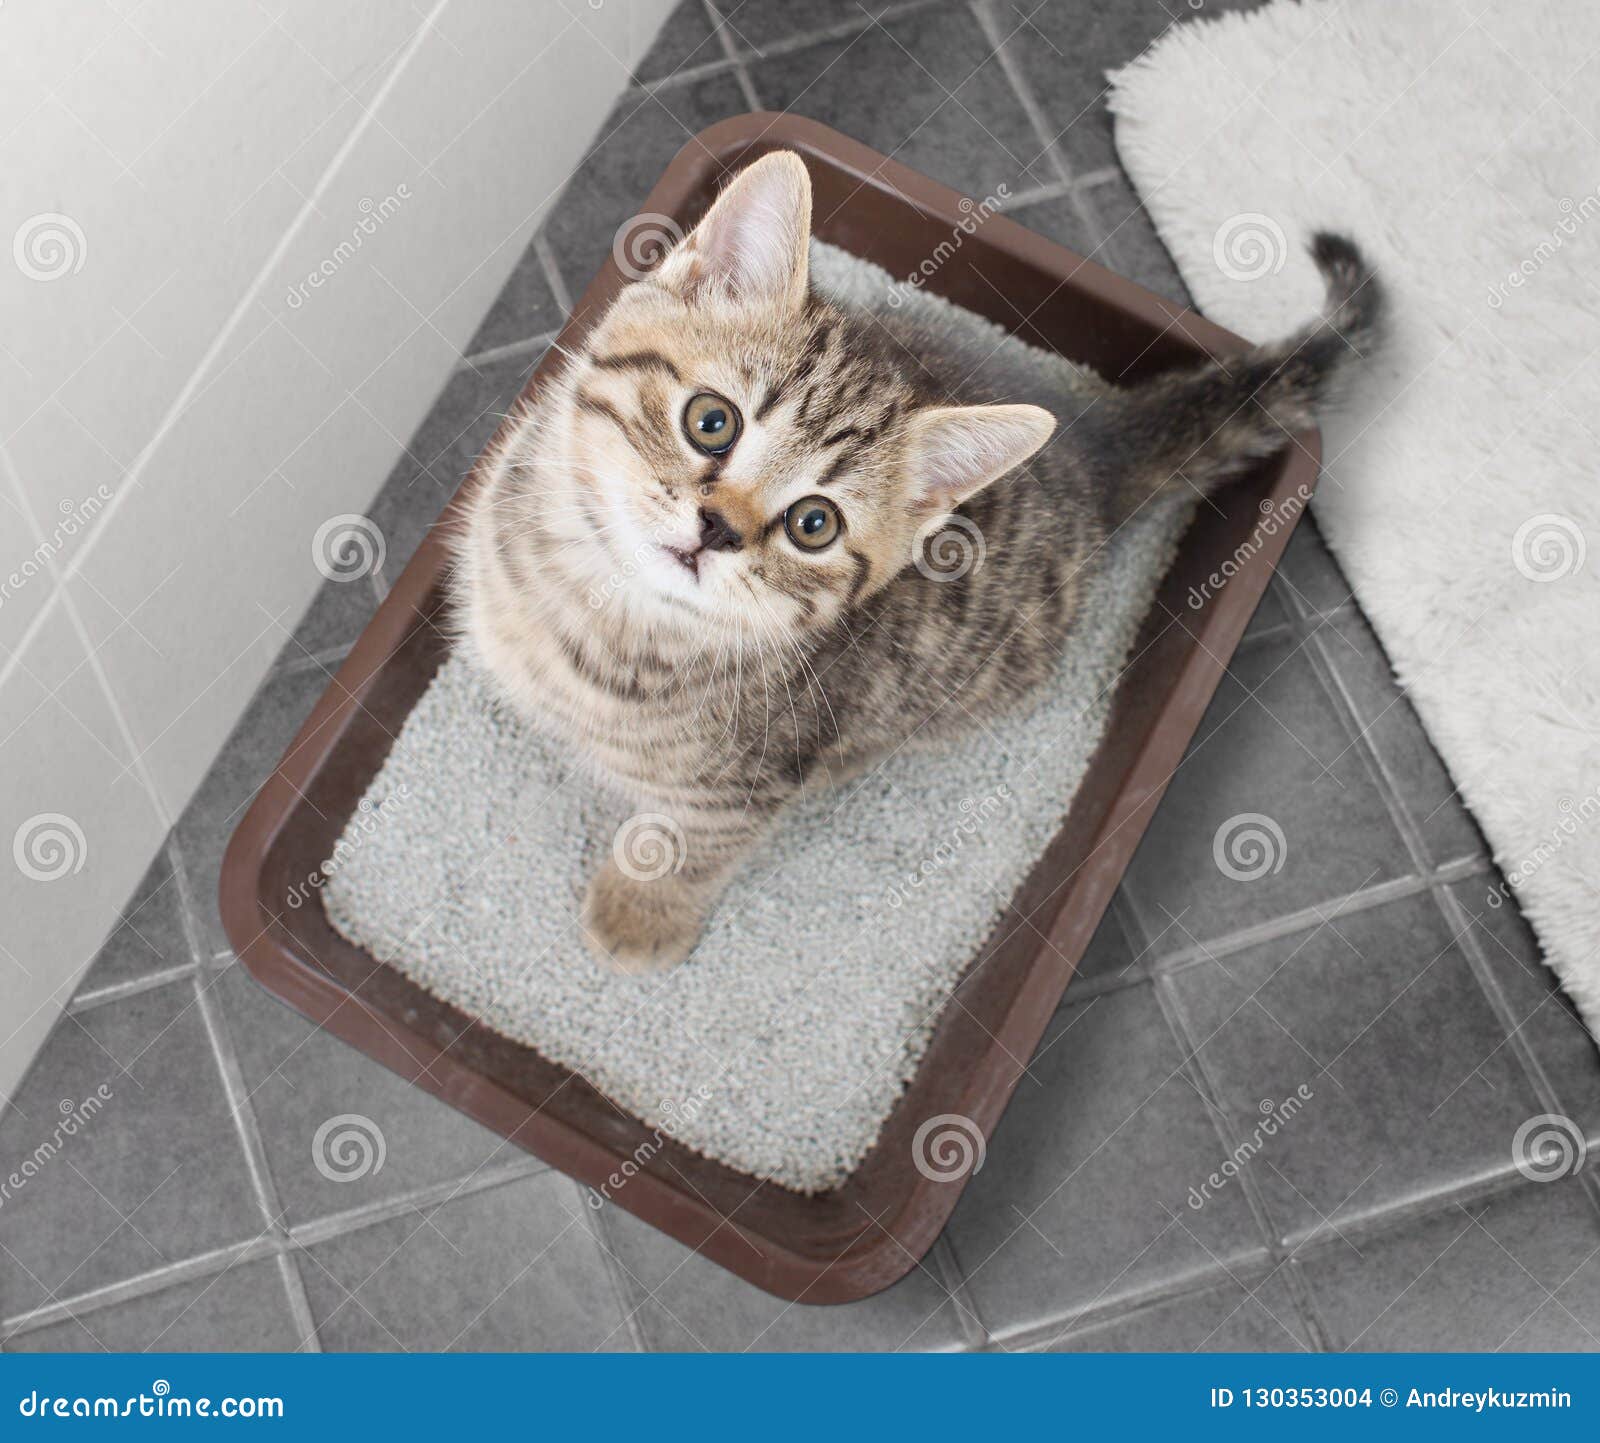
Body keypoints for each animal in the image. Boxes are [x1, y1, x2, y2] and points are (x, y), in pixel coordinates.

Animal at [457, 152, 1382, 979]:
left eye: (814, 524)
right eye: (711, 420)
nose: (717, 528)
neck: (596, 604)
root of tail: (1092, 447)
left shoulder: (753, 776)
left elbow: (690, 840)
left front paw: (640, 909)